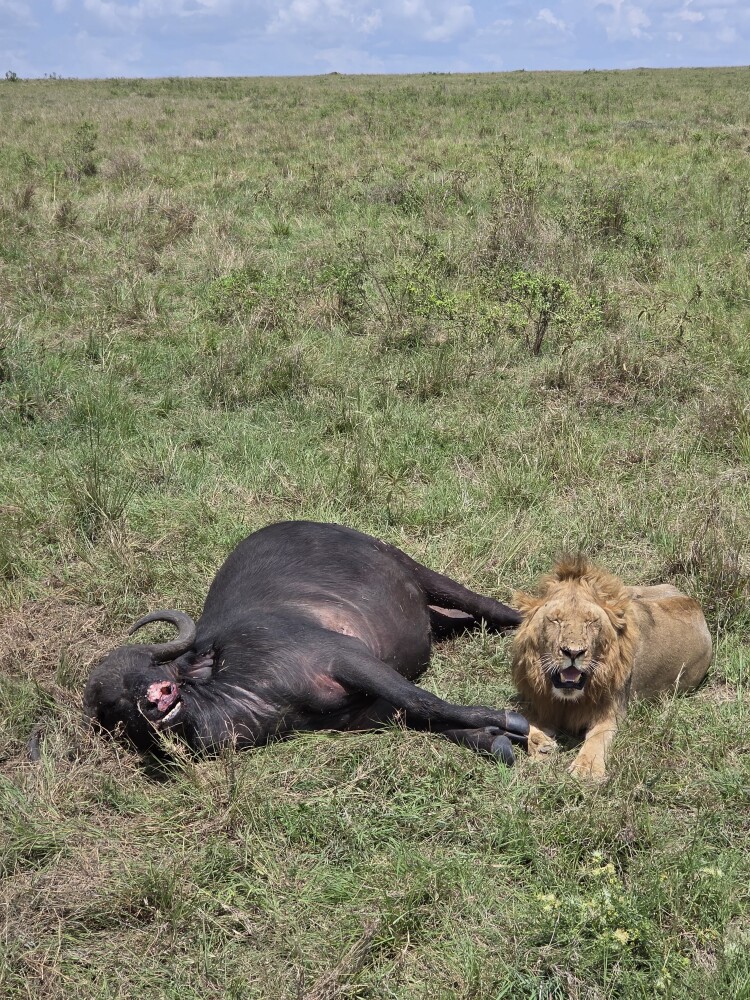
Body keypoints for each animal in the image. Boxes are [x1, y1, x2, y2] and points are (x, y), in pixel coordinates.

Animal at [510, 556, 712, 780]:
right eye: (555, 620)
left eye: (591, 622)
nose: (573, 652)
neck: (567, 701)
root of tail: (693, 601)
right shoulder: (537, 702)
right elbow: (521, 718)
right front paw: (541, 745)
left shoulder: (611, 712)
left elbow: (597, 739)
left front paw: (586, 770)